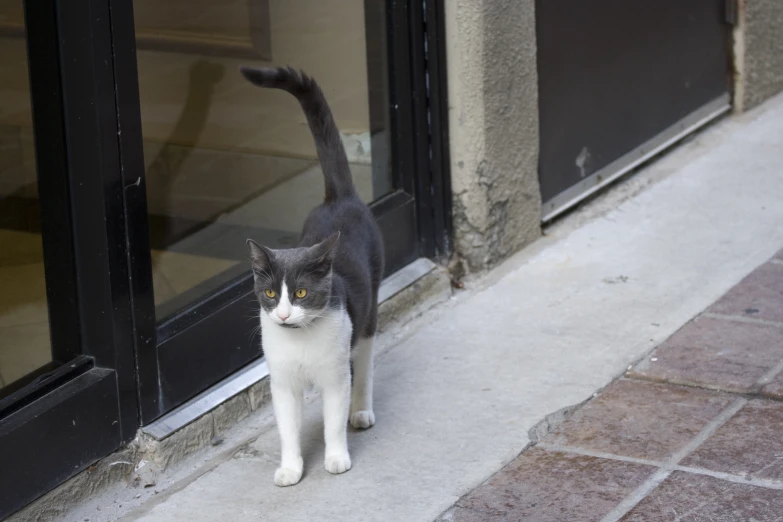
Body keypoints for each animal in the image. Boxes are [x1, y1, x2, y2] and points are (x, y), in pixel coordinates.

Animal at [240, 67, 384, 486]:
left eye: (302, 293)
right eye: (271, 294)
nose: (285, 314)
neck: (299, 341)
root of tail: (339, 198)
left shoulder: (334, 375)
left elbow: (333, 418)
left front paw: (336, 457)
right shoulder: (282, 382)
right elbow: (287, 428)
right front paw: (290, 468)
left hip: (366, 318)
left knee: (363, 365)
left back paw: (361, 411)